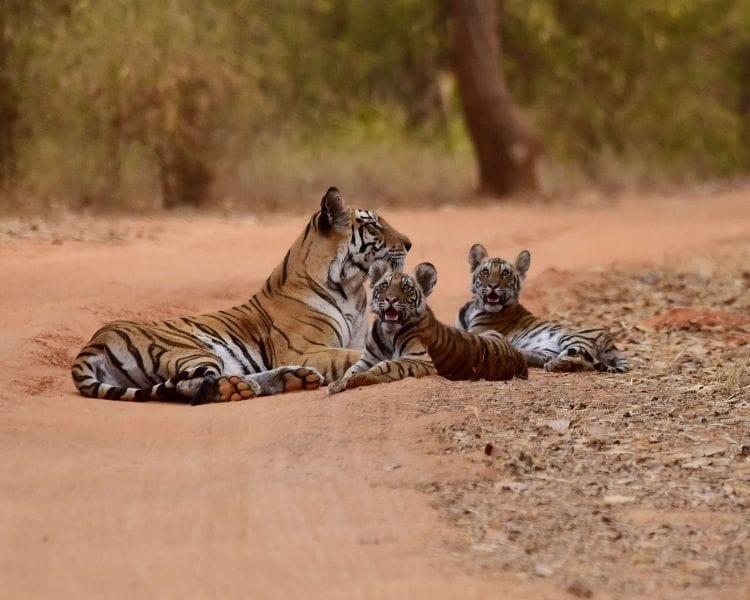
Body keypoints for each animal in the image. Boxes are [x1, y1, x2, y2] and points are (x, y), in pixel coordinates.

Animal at [71, 187, 411, 404]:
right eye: (374, 226)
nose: (409, 243)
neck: (352, 288)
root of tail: (93, 342)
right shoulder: (306, 349)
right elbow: (353, 356)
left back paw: (292, 380)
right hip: (190, 349)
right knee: (190, 385)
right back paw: (241, 388)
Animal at [328, 259, 527, 393]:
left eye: (406, 288)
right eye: (384, 285)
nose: (391, 299)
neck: (388, 333)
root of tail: (519, 357)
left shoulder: (420, 359)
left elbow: (386, 365)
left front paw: (355, 380)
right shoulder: (367, 358)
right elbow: (350, 369)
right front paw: (338, 383)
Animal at [456, 244, 629, 373]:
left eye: (505, 273)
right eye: (485, 272)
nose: (493, 285)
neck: (474, 308)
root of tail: (611, 342)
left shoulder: (478, 332)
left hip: (572, 337)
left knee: (583, 360)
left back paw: (555, 364)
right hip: (548, 349)